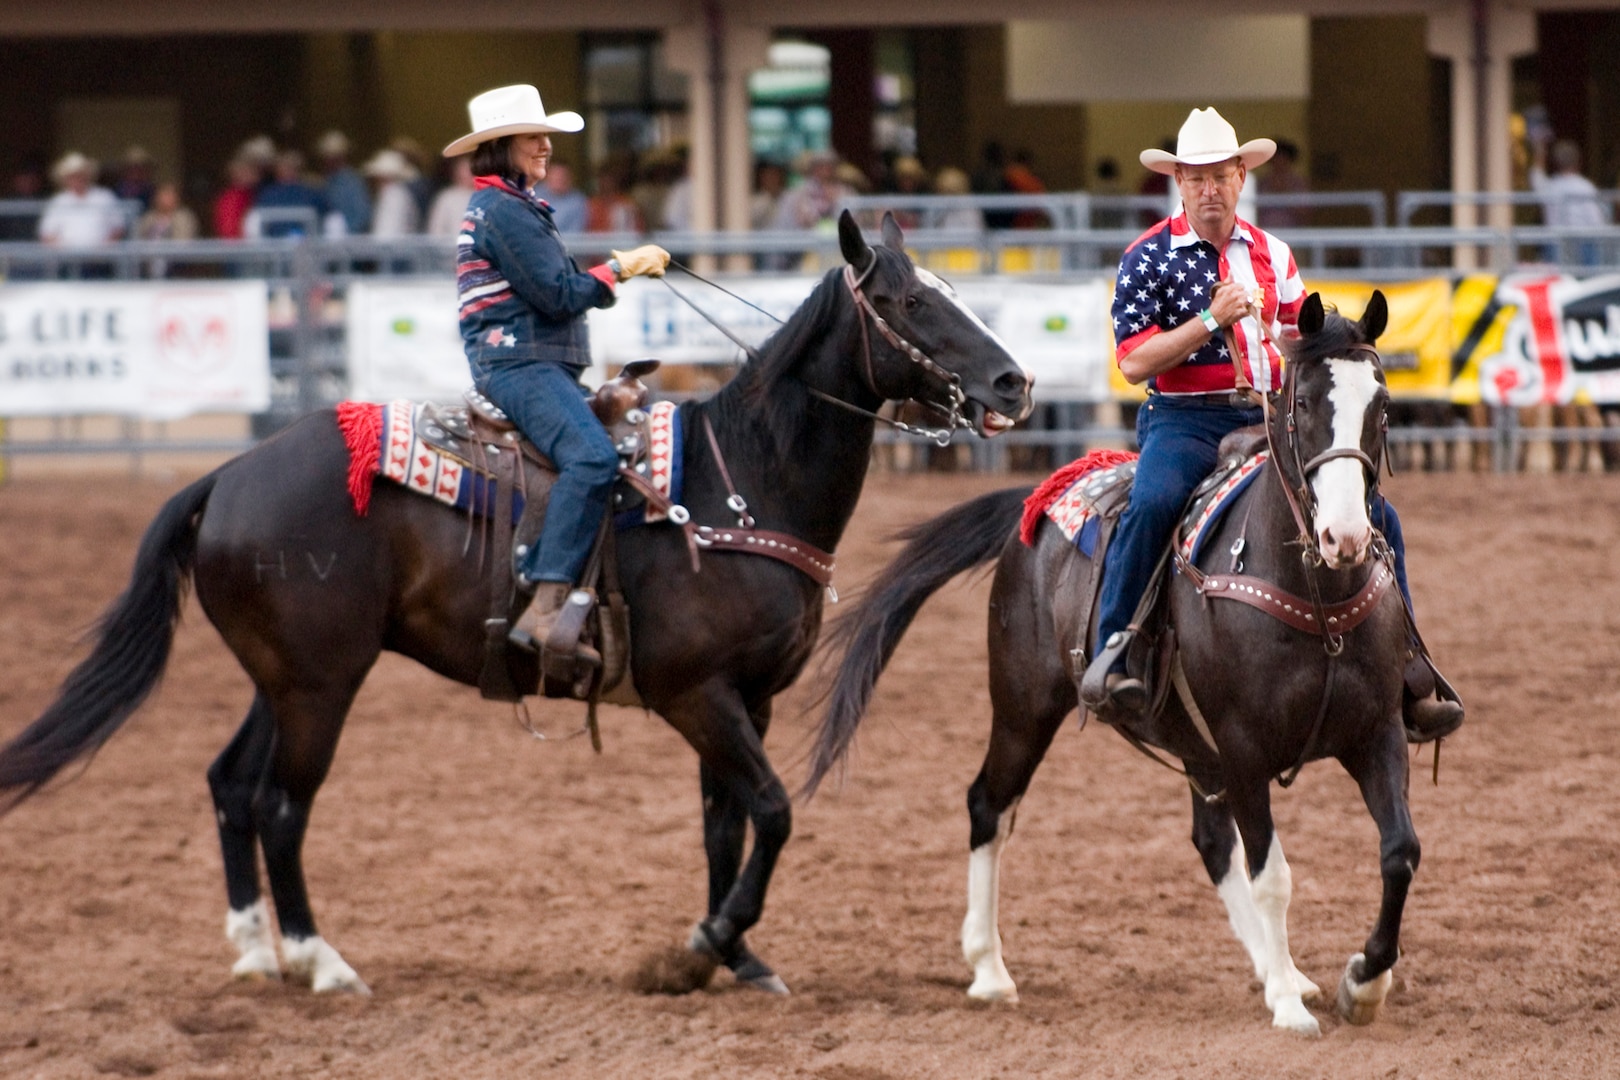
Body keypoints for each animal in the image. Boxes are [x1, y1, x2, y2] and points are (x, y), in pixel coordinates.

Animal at [0, 208, 1030, 997]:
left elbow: (725, 827)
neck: (741, 481)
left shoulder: (749, 697)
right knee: (281, 805)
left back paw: (258, 953)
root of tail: (225, 475)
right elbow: (772, 814)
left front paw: (731, 957)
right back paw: (322, 963)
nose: (1014, 381)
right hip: (320, 685)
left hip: (281, 679)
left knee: (229, 786)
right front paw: (701, 947)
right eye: (907, 302)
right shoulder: (695, 694)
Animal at [810, 291, 1419, 1036]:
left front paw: (1362, 981)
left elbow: (1399, 852)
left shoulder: (1377, 733)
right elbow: (1272, 875)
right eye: (1301, 402)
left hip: (1195, 744)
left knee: (1211, 842)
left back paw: (1284, 971)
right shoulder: (1244, 750)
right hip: (1024, 707)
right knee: (990, 804)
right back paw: (989, 969)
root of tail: (1032, 505)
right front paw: (1289, 1003)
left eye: (1382, 404)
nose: (1347, 535)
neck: (1315, 600)